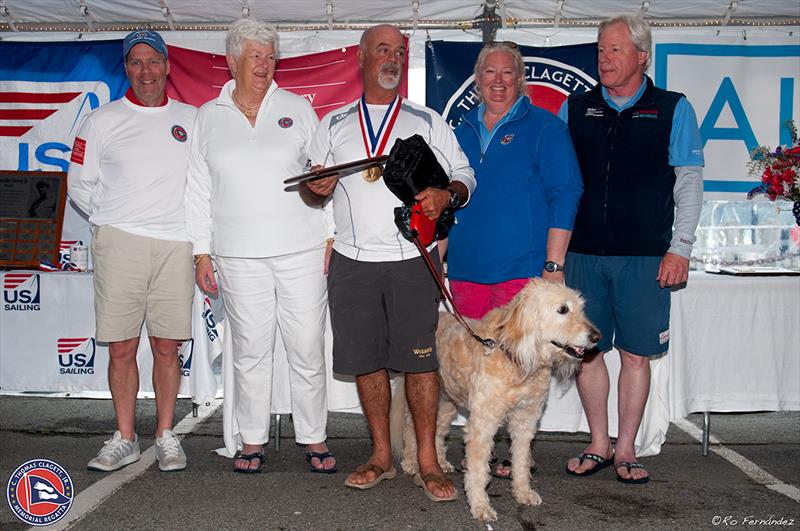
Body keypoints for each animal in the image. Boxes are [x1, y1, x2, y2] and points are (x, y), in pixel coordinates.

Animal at [394, 280, 600, 520]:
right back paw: (410, 462)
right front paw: (480, 506)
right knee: (411, 427)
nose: (597, 337)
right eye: (563, 309)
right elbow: (478, 470)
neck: (515, 357)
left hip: (447, 400)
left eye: (581, 308)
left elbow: (521, 461)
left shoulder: (525, 420)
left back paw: (441, 462)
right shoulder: (483, 423)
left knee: (437, 429)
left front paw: (523, 493)